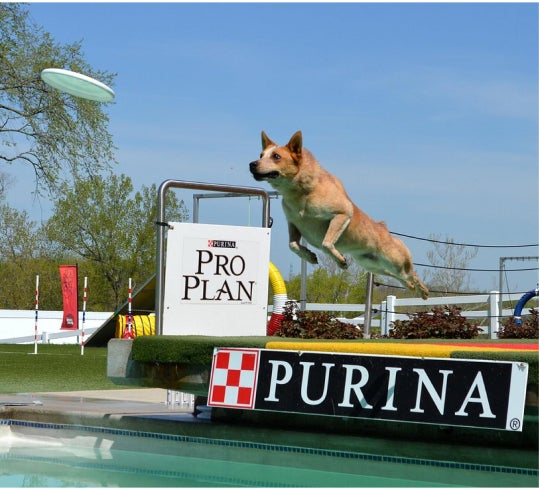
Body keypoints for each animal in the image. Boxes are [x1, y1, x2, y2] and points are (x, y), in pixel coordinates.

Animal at [249, 130, 430, 298]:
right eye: (261, 155)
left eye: (276, 156)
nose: (252, 164)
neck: (301, 192)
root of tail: (385, 231)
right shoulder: (293, 223)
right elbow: (292, 245)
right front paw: (309, 256)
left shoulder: (343, 212)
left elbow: (326, 243)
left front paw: (341, 260)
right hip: (372, 264)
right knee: (397, 276)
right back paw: (410, 287)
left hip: (395, 261)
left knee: (411, 273)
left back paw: (423, 290)